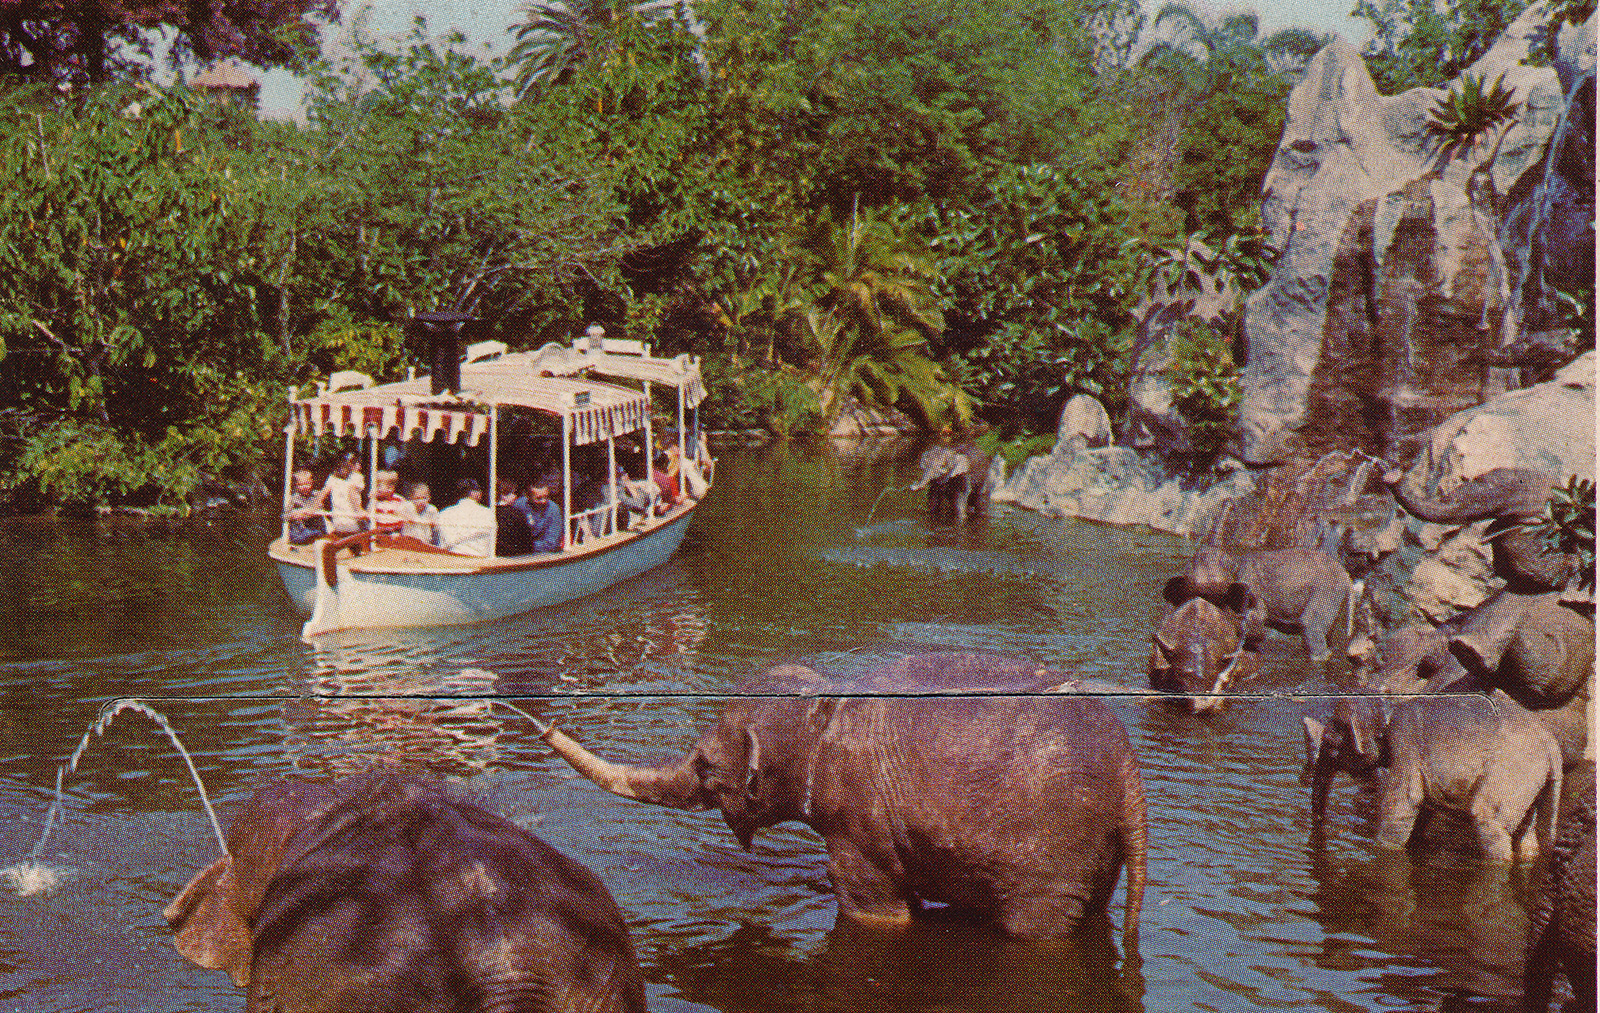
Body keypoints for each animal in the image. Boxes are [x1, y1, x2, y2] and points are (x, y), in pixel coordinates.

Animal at [536, 651, 1148, 943]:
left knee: (1038, 925)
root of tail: (1128, 770)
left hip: (1049, 851)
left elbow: (870, 903)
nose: (544, 727)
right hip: (1093, 850)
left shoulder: (857, 816)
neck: (821, 707)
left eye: (706, 766)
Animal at [1164, 546, 1354, 661]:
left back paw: (1321, 655)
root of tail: (1346, 575)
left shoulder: (1250, 587)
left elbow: (1256, 617)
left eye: (1221, 595)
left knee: (1310, 625)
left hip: (1327, 589)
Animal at [1301, 691, 1562, 863]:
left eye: (1329, 742)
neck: (1386, 704)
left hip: (1510, 774)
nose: (1318, 821)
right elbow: (1422, 807)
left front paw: (1381, 849)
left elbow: (1404, 802)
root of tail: (1551, 745)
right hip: (1535, 784)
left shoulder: (1404, 746)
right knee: (1529, 837)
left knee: (1488, 820)